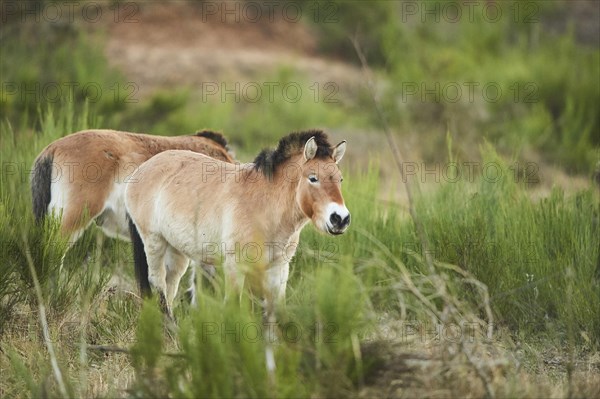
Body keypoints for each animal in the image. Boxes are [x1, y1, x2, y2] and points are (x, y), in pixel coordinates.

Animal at [125, 130, 352, 318]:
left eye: (340, 179)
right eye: (313, 178)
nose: (340, 219)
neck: (264, 206)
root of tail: (142, 169)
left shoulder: (278, 269)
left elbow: (275, 313)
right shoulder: (235, 266)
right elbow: (233, 307)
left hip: (177, 250)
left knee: (170, 285)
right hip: (154, 241)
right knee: (157, 283)